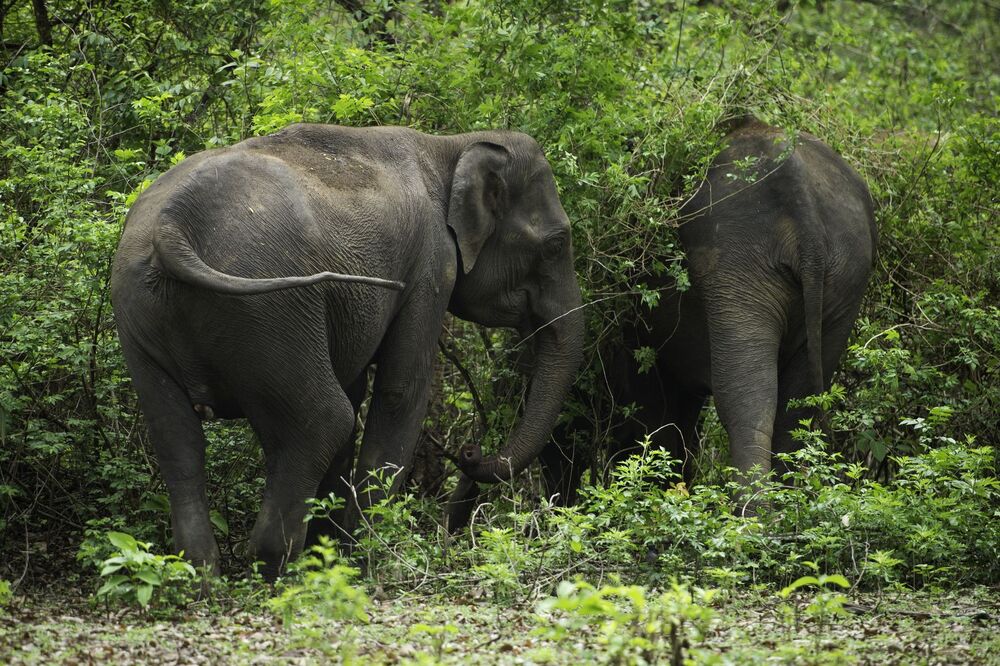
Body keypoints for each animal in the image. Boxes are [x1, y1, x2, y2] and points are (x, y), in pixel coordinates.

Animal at [111, 123, 585, 577]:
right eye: (556, 243)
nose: (471, 452)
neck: (450, 146)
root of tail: (173, 227)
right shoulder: (432, 264)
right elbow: (400, 391)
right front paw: (365, 560)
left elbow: (356, 386)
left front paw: (333, 555)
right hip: (268, 308)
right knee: (323, 420)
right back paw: (279, 571)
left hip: (141, 314)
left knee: (176, 439)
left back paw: (200, 578)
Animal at [534, 117, 877, 507]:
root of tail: (800, 193)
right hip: (846, 275)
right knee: (796, 410)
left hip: (738, 261)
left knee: (745, 402)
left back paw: (751, 516)